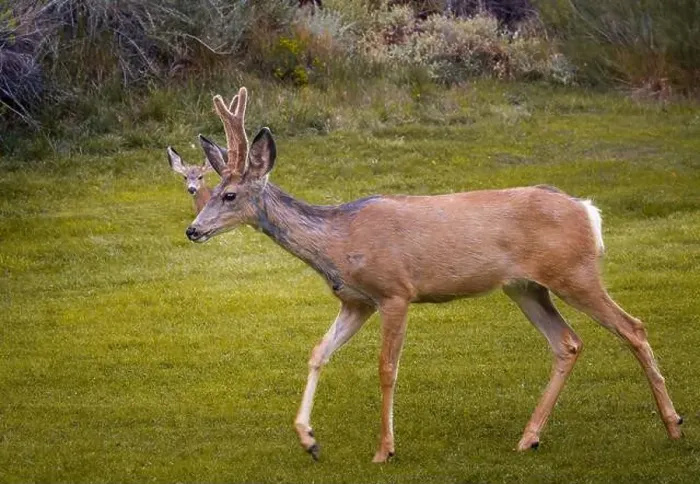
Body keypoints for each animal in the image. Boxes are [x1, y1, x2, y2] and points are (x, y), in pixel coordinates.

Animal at [180, 86, 683, 463]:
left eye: (228, 195)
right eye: (211, 192)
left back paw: (673, 425)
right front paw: (308, 439)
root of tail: (587, 210)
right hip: (526, 287)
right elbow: (318, 352)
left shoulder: (395, 291)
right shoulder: (356, 300)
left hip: (574, 271)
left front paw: (384, 450)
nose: (192, 230)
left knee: (633, 327)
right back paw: (529, 437)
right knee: (568, 342)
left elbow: (387, 367)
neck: (337, 241)